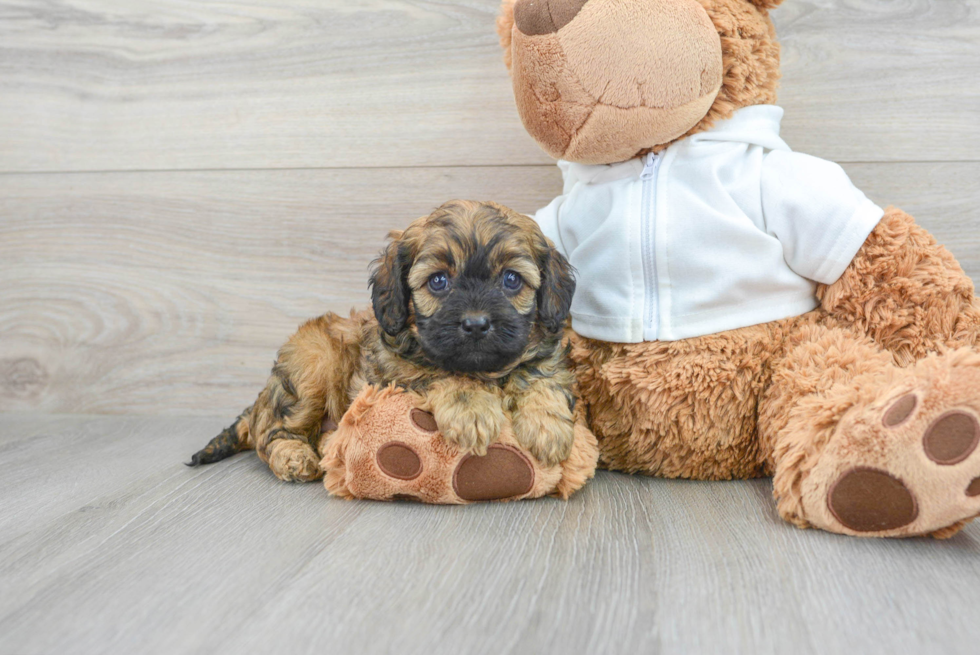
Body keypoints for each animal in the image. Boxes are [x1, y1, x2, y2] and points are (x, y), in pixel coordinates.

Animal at [188, 200, 580, 482]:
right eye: (438, 281)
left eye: (512, 280)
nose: (475, 324)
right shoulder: (395, 371)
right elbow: (445, 372)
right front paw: (472, 409)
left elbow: (539, 375)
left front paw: (546, 424)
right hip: (313, 364)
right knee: (270, 432)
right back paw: (295, 457)